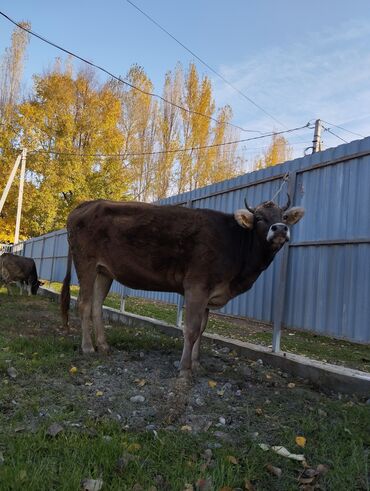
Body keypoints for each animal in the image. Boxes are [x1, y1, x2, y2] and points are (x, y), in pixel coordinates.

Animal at [60, 198, 304, 378]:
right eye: (260, 218)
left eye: (283, 216)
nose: (280, 229)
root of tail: (88, 204)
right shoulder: (197, 286)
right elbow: (192, 329)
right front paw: (185, 368)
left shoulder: (208, 293)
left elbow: (203, 329)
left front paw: (196, 364)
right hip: (86, 263)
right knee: (83, 304)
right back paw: (88, 347)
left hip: (104, 272)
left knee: (96, 306)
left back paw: (103, 346)